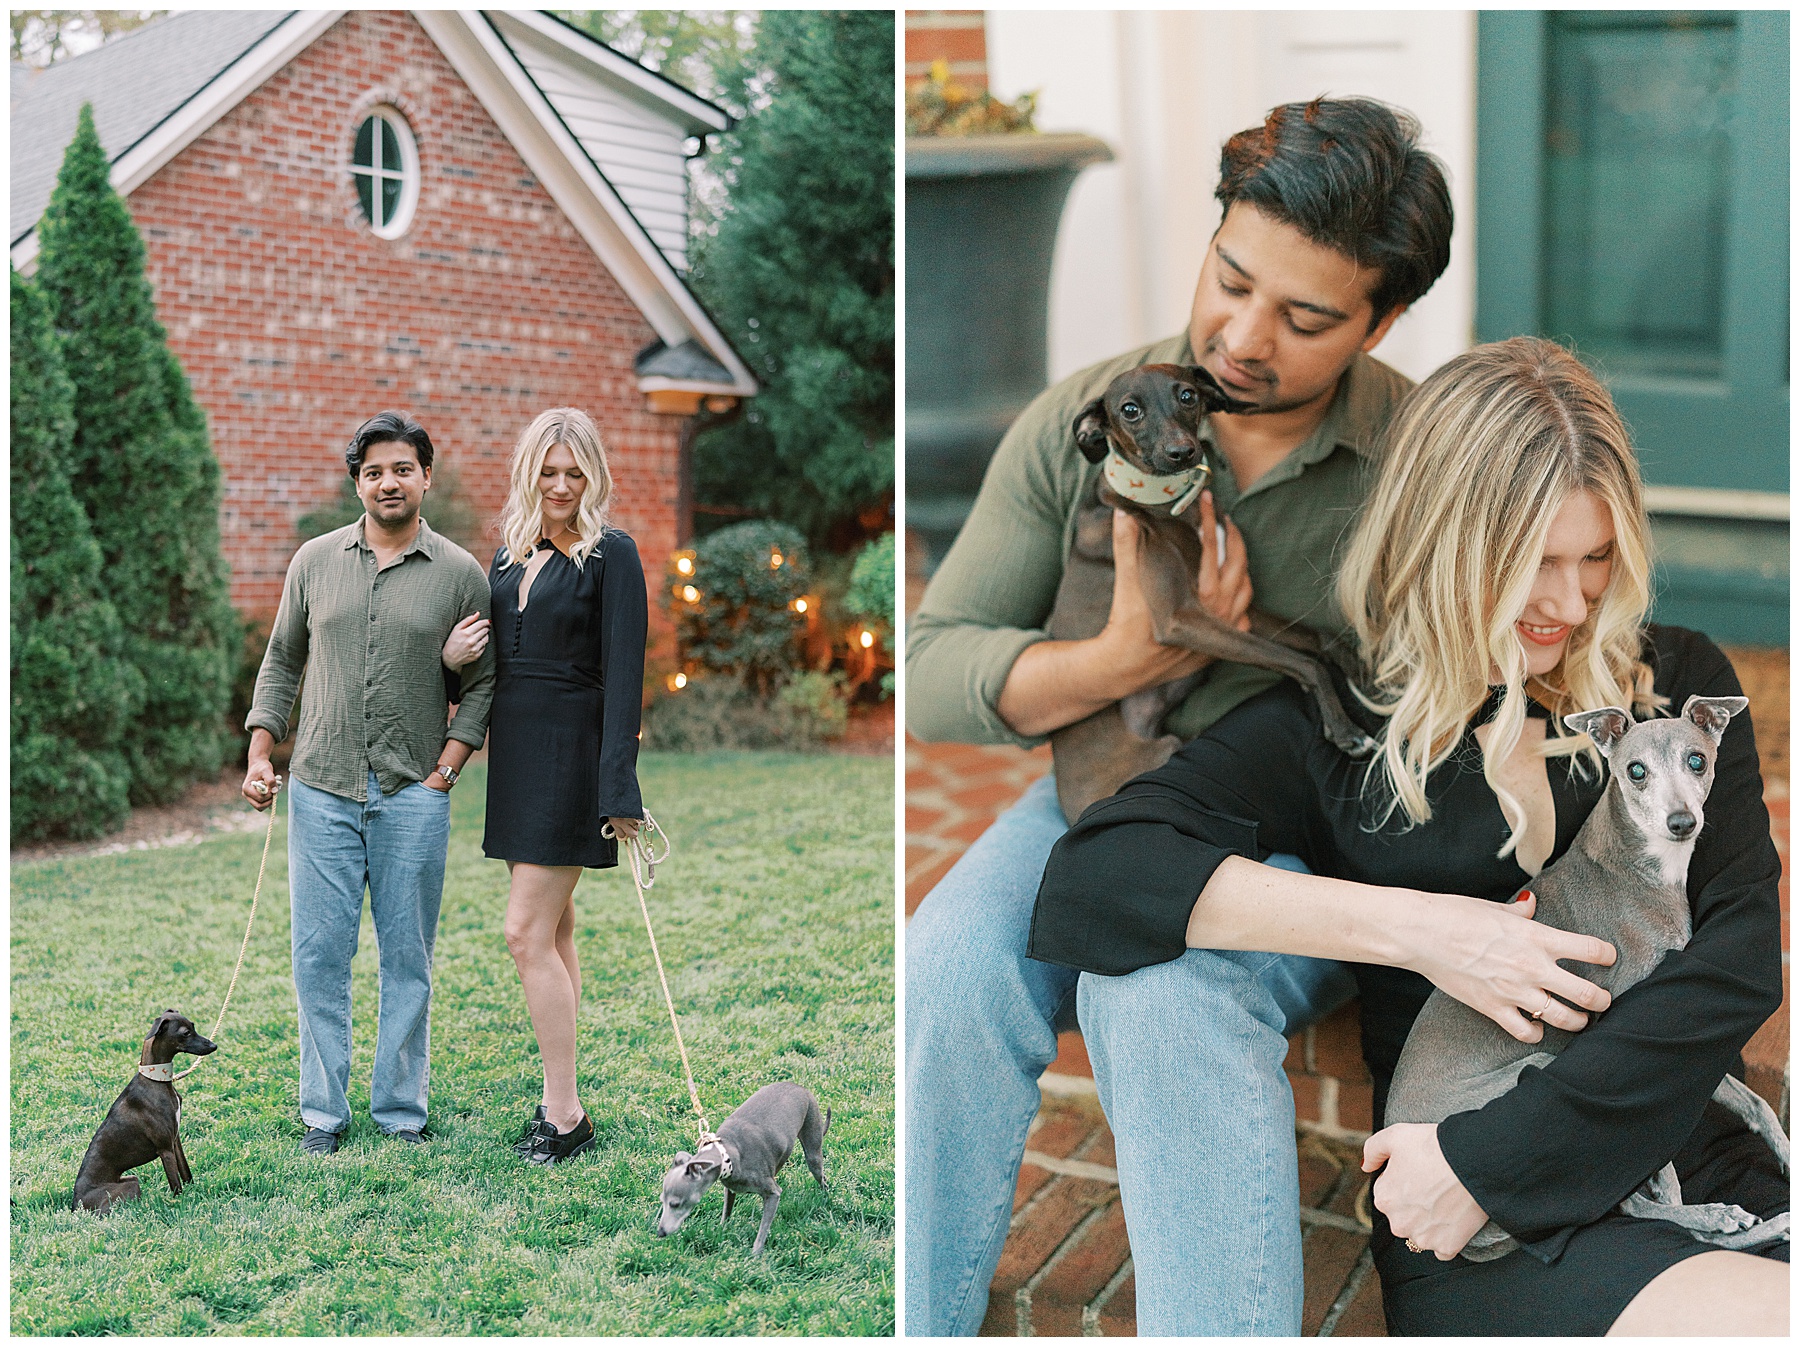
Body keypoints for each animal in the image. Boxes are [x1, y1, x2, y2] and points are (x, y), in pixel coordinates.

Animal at [71, 1008, 213, 1210]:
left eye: (193, 1026)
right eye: (186, 1033)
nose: (214, 1045)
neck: (156, 1080)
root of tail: (76, 1204)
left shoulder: (175, 1141)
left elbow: (186, 1173)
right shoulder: (165, 1149)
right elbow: (176, 1184)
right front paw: (180, 1203)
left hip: (131, 1179)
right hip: (131, 1185)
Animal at [1051, 360, 1368, 821]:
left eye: (1187, 396)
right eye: (1130, 410)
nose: (1183, 452)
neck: (1166, 503)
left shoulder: (1236, 609)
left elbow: (1318, 638)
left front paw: (1360, 670)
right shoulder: (1180, 619)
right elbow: (1305, 663)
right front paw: (1345, 730)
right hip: (1163, 749)